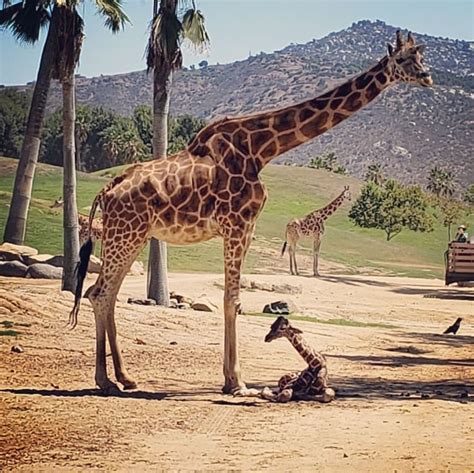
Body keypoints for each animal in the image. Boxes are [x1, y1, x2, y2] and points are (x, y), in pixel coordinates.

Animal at [71, 32, 434, 394]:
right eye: (403, 60)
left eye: (421, 57)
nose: (427, 77)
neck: (262, 149)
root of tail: (107, 191)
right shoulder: (237, 225)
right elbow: (232, 300)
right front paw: (237, 382)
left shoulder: (245, 229)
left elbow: (233, 299)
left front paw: (230, 380)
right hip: (125, 234)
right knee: (100, 293)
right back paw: (105, 380)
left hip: (132, 236)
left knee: (104, 294)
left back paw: (124, 377)